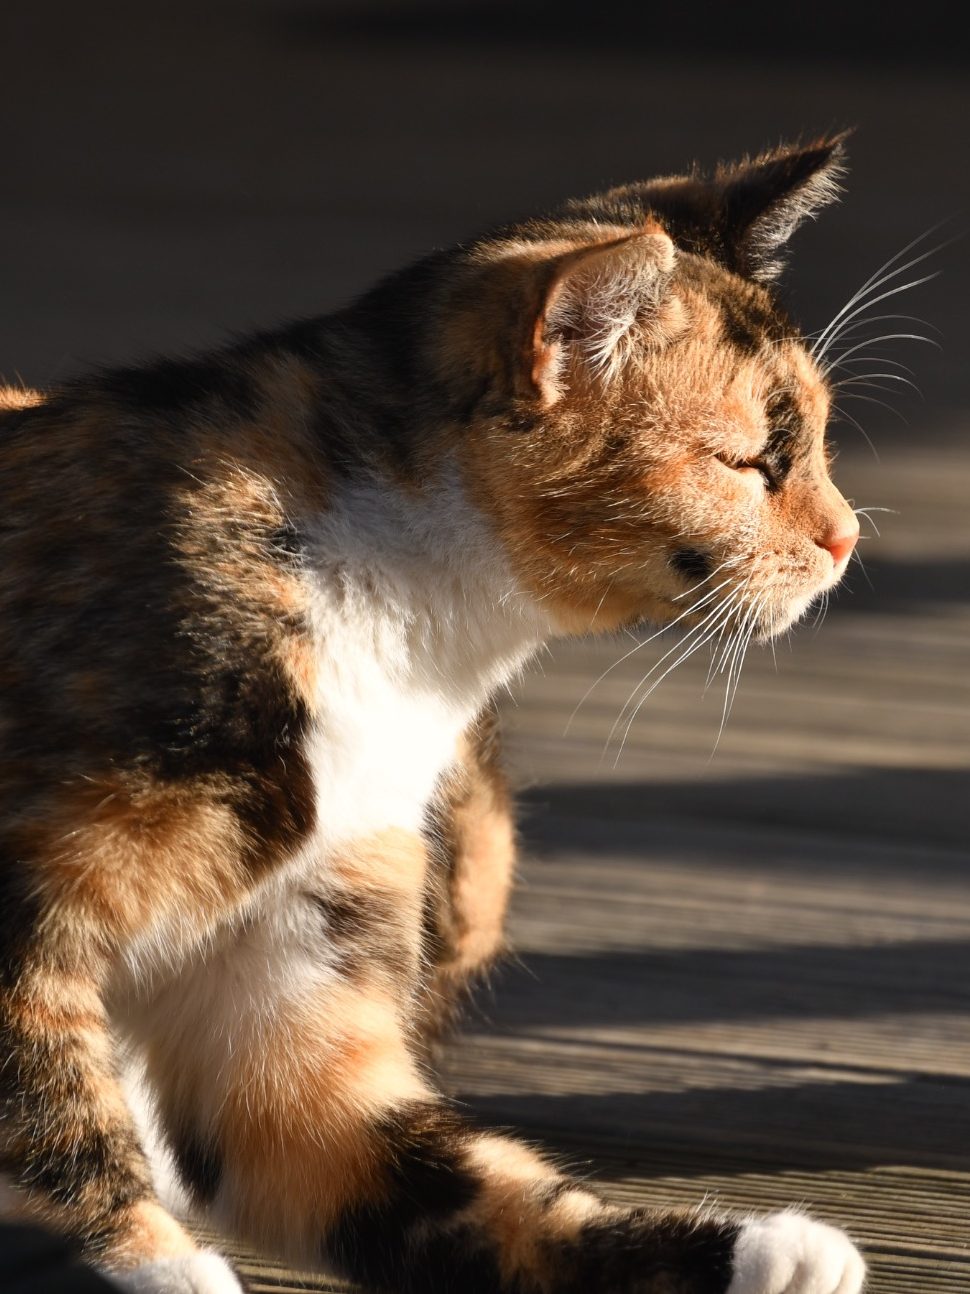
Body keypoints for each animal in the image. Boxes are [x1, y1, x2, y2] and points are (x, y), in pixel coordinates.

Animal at [0, 135, 866, 1294]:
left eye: (812, 440)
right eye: (749, 461)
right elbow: (48, 1118)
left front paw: (759, 1251)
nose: (848, 537)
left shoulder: (302, 966)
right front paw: (152, 1265)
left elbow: (447, 1180)